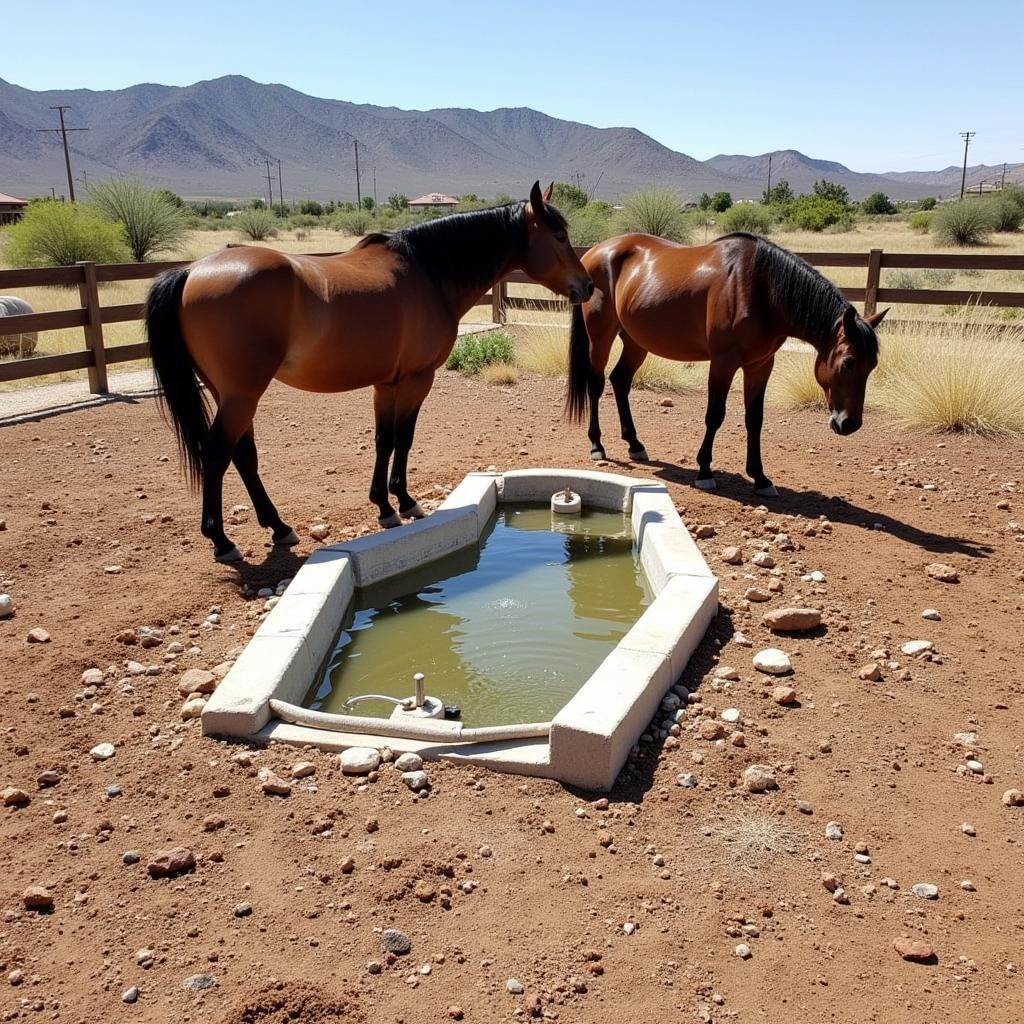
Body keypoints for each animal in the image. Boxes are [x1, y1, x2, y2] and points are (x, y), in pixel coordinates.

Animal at [145, 186, 593, 569]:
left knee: (243, 457)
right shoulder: (416, 380)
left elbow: (383, 440)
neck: (428, 274)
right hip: (242, 395)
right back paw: (223, 542)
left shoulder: (386, 384)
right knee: (216, 455)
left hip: (231, 394)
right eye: (558, 235)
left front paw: (383, 506)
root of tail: (190, 273)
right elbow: (403, 439)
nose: (587, 286)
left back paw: (280, 527)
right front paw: (406, 502)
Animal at [565, 230, 884, 493]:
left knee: (620, 381)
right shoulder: (723, 362)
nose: (849, 423)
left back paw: (635, 444)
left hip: (635, 342)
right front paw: (705, 471)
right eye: (849, 362)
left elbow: (755, 419)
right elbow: (715, 415)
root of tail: (594, 252)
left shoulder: (761, 365)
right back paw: (597, 445)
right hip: (601, 338)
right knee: (596, 385)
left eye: (872, 366)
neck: (759, 287)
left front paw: (760, 478)